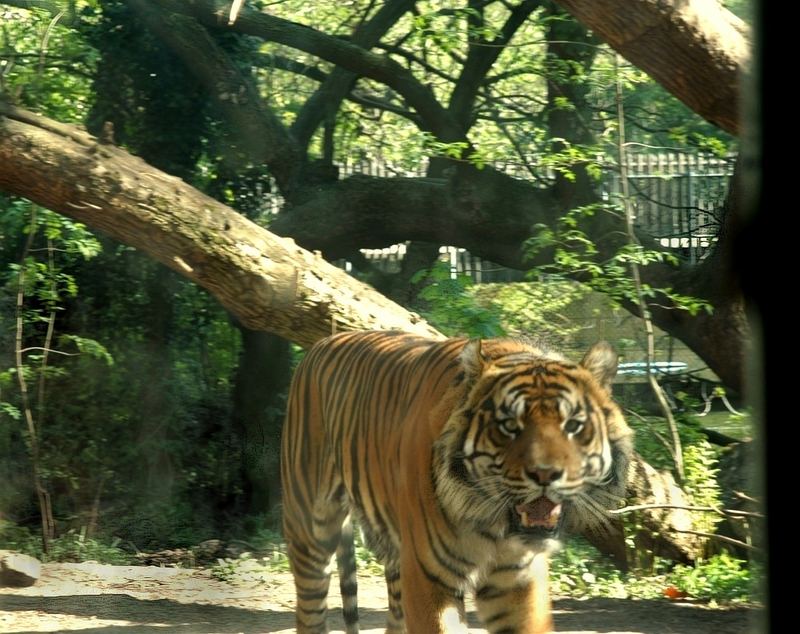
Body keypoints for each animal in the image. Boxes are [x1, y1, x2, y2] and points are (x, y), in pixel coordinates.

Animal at [280, 328, 632, 628]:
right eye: (509, 426)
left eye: (572, 425)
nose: (545, 473)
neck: (493, 526)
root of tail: (322, 343)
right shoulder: (429, 579)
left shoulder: (517, 580)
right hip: (312, 532)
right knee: (310, 613)